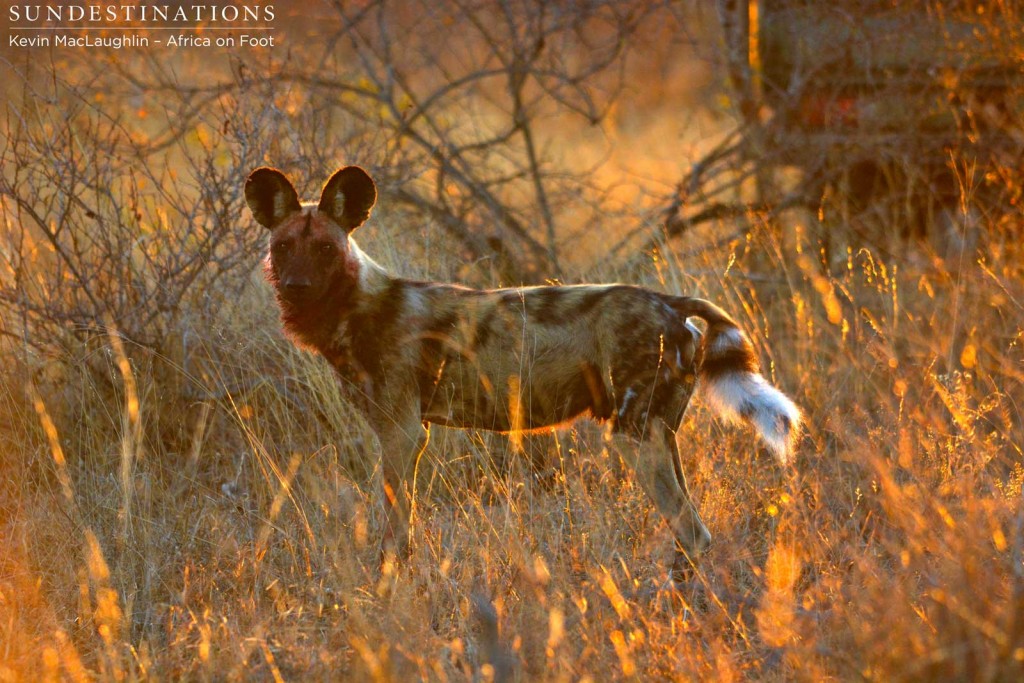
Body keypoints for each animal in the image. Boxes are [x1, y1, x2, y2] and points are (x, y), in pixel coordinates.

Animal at [245, 165, 798, 581]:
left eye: (325, 249)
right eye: (283, 248)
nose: (295, 288)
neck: (359, 307)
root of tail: (668, 300)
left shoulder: (402, 434)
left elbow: (395, 533)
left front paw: (391, 586)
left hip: (634, 437)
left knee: (692, 532)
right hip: (660, 433)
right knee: (695, 532)